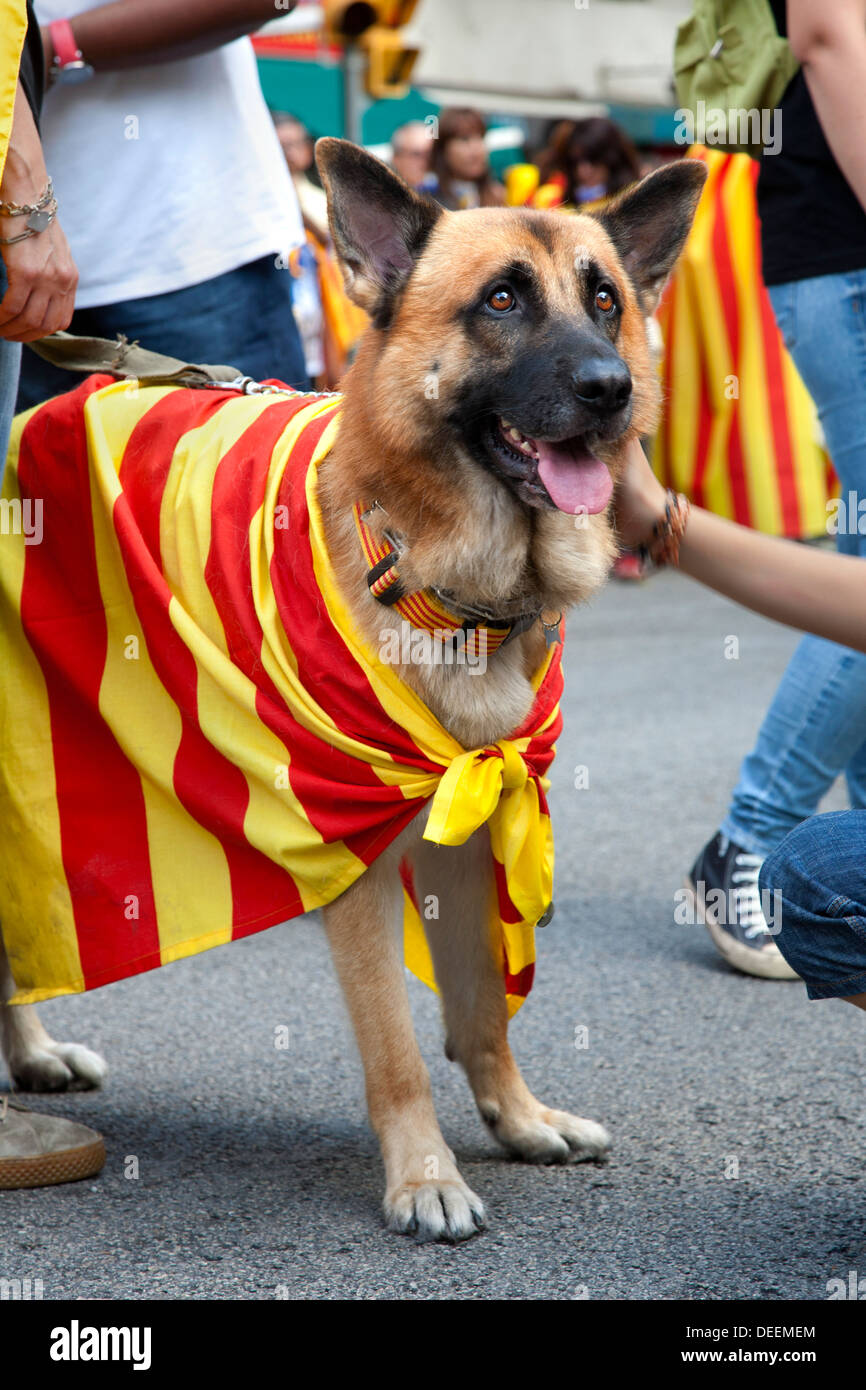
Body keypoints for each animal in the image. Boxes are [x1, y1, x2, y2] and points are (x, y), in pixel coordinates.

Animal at [0, 141, 706, 1245]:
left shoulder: (473, 828)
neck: (437, 579)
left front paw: (518, 1119)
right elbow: (397, 1049)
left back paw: (31, 1056)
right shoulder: (355, 867)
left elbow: (482, 1011)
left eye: (604, 301)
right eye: (501, 298)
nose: (612, 387)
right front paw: (423, 1177)